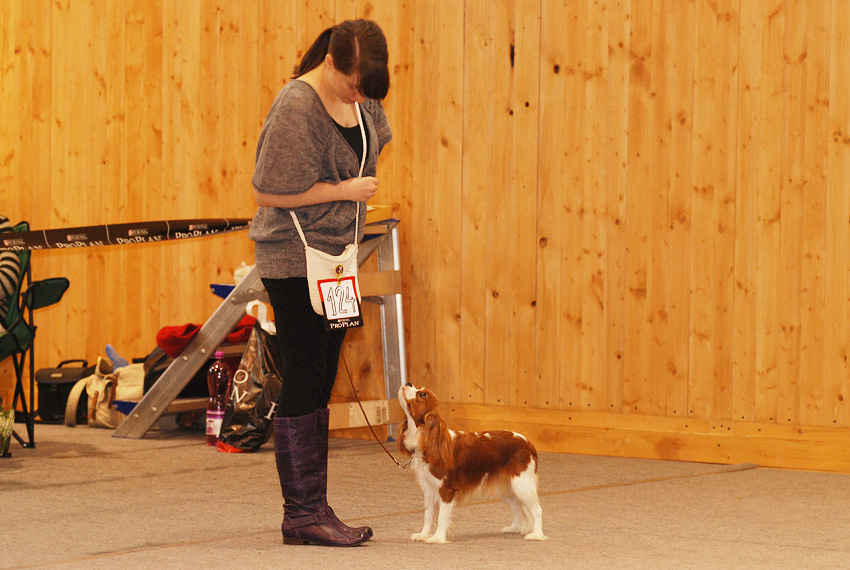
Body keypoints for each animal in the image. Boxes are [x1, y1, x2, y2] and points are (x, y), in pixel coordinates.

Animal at [397, 383, 547, 543]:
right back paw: (515, 528)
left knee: (537, 510)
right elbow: (428, 515)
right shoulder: (429, 489)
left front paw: (438, 538)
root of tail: (528, 443)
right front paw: (423, 535)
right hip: (507, 487)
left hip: (521, 485)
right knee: (518, 507)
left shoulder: (446, 490)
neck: (427, 439)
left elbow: (442, 517)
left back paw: (537, 535)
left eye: (422, 394)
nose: (408, 383)